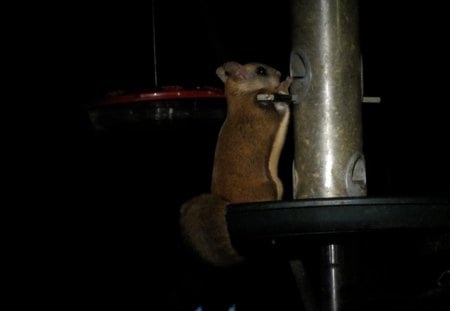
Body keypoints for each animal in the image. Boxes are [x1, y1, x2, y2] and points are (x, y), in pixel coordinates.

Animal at [179, 62, 292, 266]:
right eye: (261, 70)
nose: (279, 73)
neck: (240, 96)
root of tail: (227, 202)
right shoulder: (264, 111)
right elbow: (280, 105)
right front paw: (285, 84)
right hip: (268, 188)